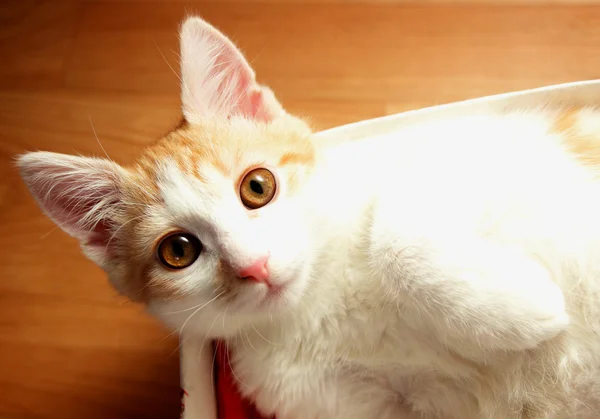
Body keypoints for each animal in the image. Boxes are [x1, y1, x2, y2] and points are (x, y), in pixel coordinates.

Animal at [15, 15, 600, 419]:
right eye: (178, 252)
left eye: (257, 186)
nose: (253, 265)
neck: (320, 297)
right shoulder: (322, 399)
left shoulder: (471, 142)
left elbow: (395, 226)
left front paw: (522, 310)